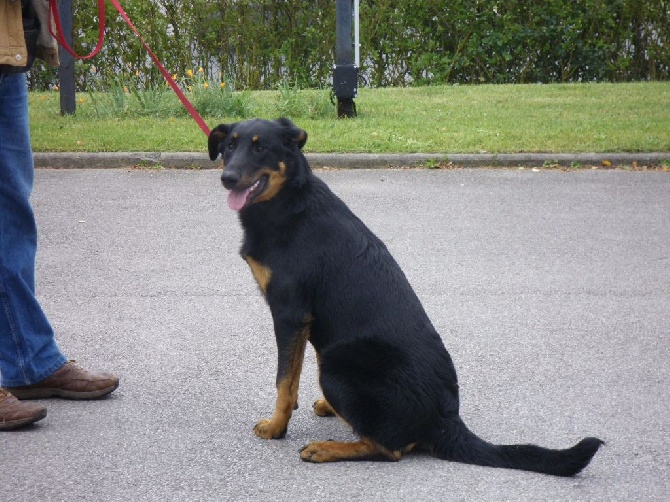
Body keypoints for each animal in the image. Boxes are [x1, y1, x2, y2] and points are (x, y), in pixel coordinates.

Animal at [207, 117, 608, 474]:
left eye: (261, 148)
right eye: (229, 146)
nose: (227, 178)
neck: (288, 202)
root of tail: (446, 419)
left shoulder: (290, 315)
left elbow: (284, 382)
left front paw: (276, 428)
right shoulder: (306, 323)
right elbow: (292, 376)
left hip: (338, 364)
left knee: (389, 450)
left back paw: (326, 448)